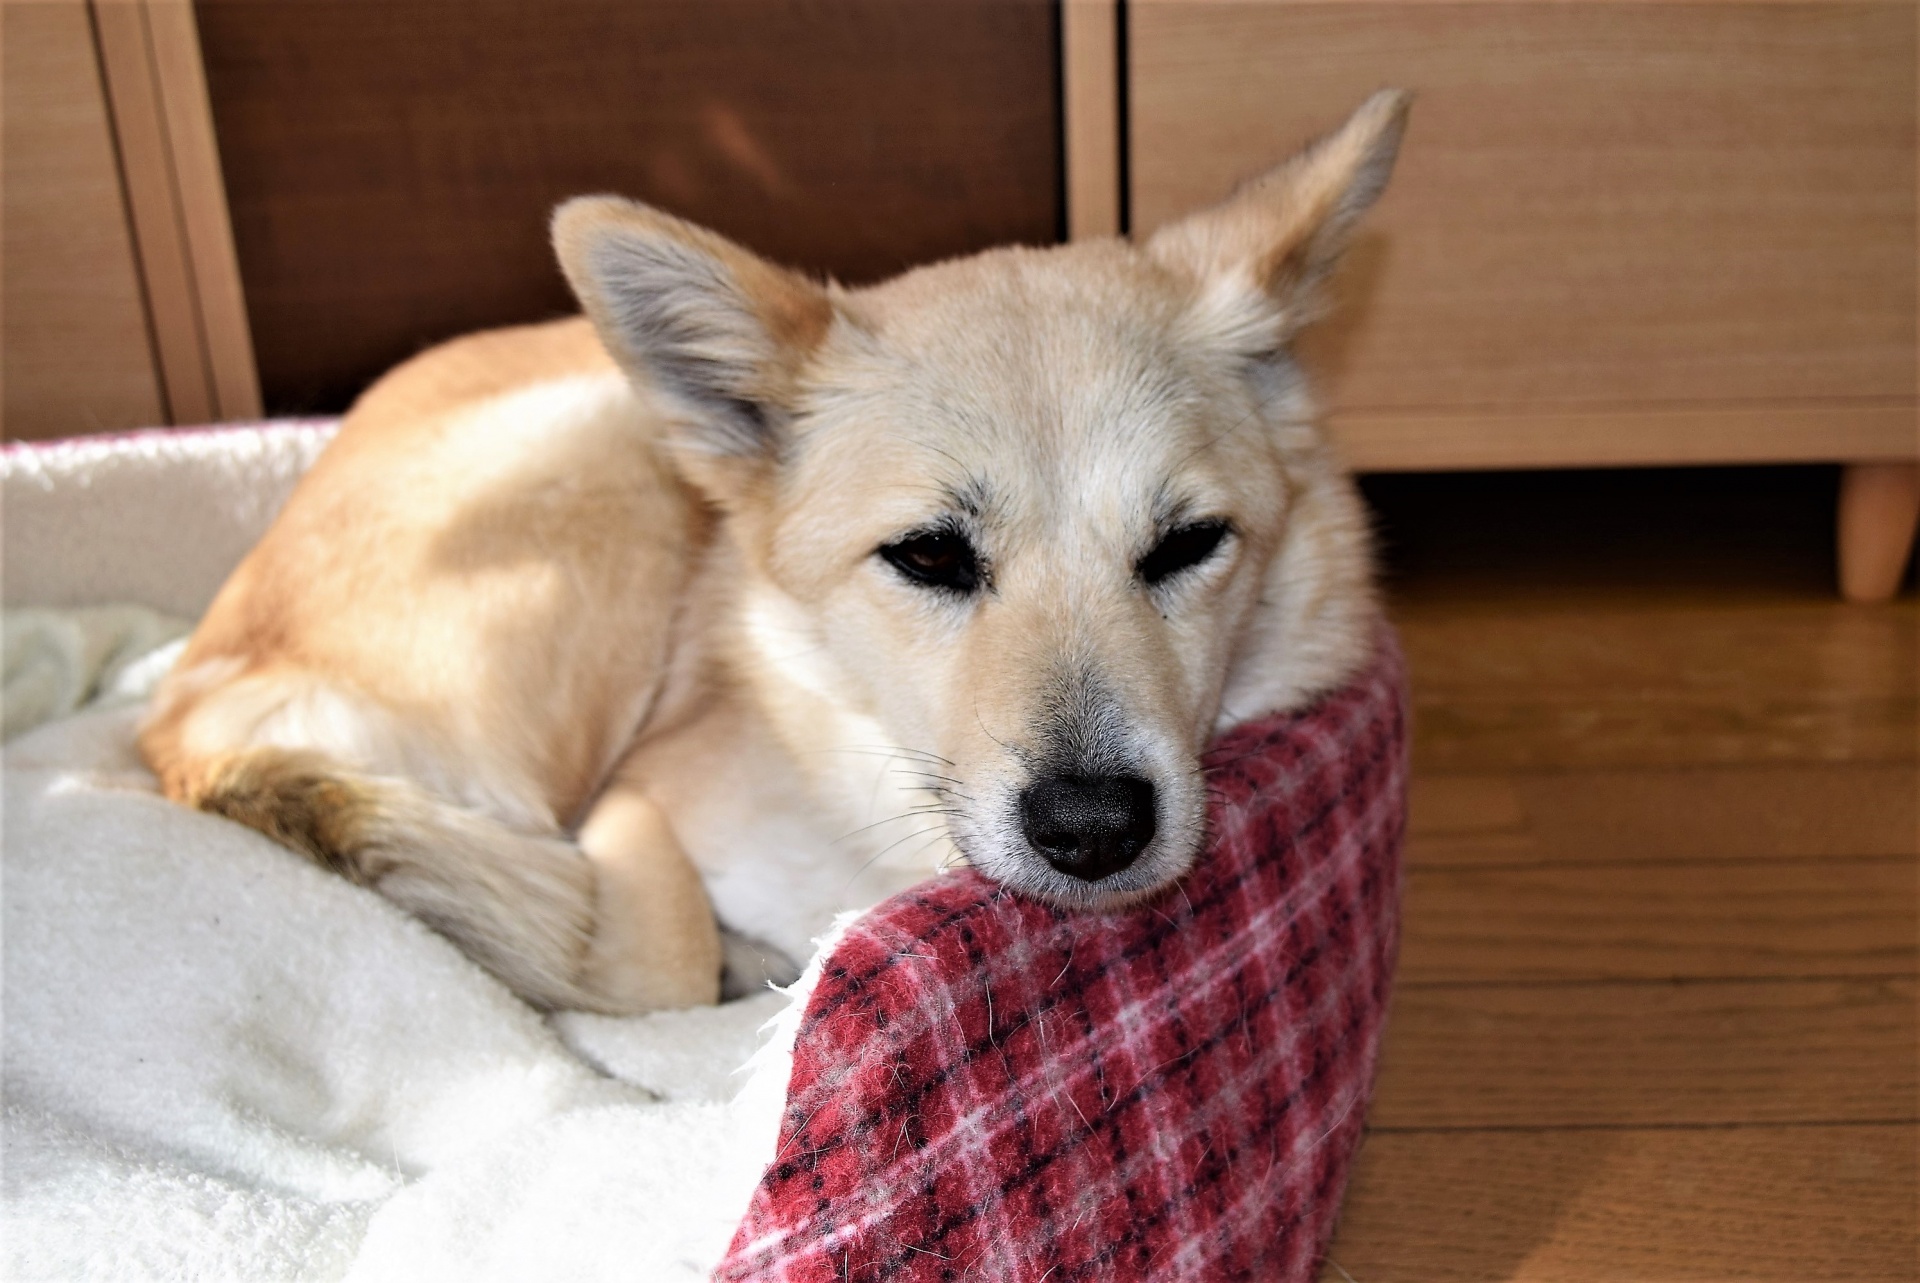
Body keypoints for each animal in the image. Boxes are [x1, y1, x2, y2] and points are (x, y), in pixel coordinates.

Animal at [139, 90, 1413, 1014]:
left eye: (1189, 543)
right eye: (929, 556)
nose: (1094, 827)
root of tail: (177, 722)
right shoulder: (637, 793)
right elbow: (647, 959)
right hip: (603, 473)